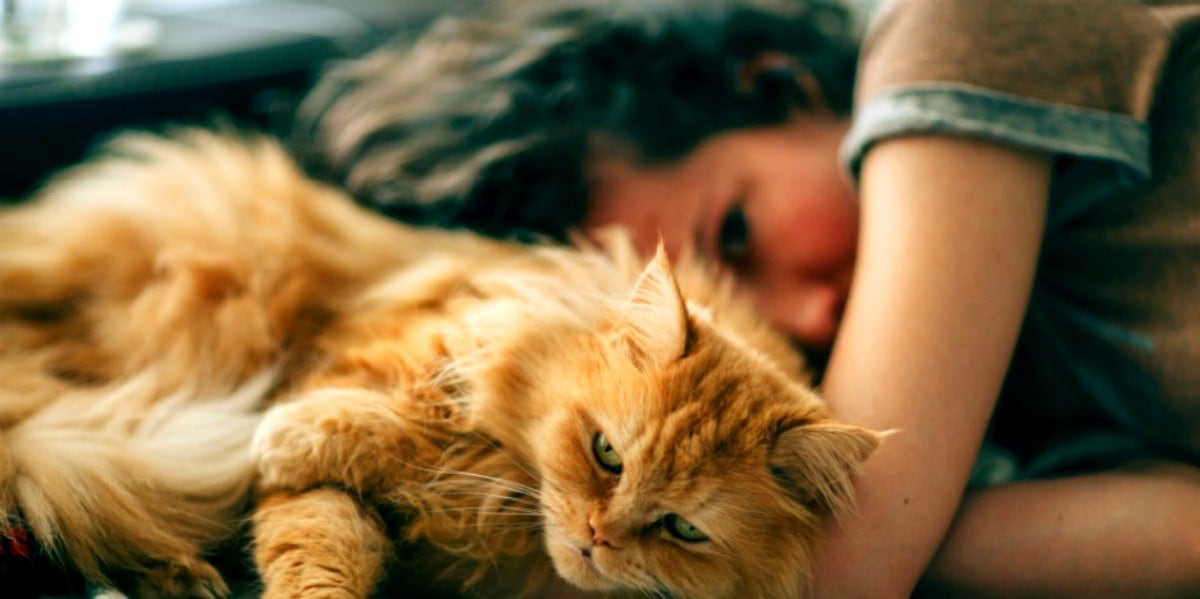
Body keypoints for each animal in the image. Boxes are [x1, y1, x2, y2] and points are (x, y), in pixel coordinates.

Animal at [0, 129, 883, 597]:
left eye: (683, 528)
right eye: (606, 452)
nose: (597, 537)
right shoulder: (375, 372)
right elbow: (336, 496)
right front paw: (286, 434)